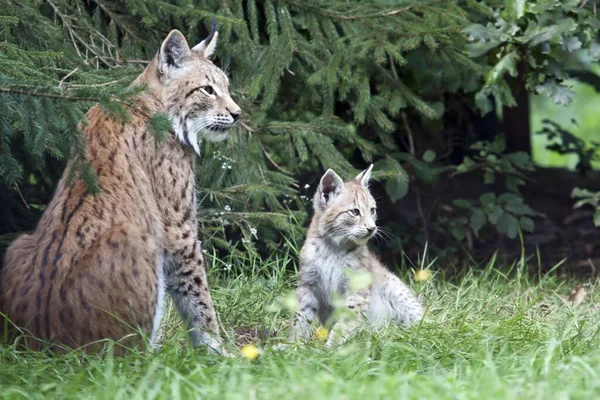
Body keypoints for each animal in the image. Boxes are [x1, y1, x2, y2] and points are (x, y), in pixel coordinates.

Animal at [290, 164, 422, 346]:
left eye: (372, 210)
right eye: (354, 212)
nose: (372, 228)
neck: (332, 247)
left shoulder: (357, 289)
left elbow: (344, 322)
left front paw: (331, 347)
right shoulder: (308, 285)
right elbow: (300, 318)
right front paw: (292, 345)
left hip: (394, 287)